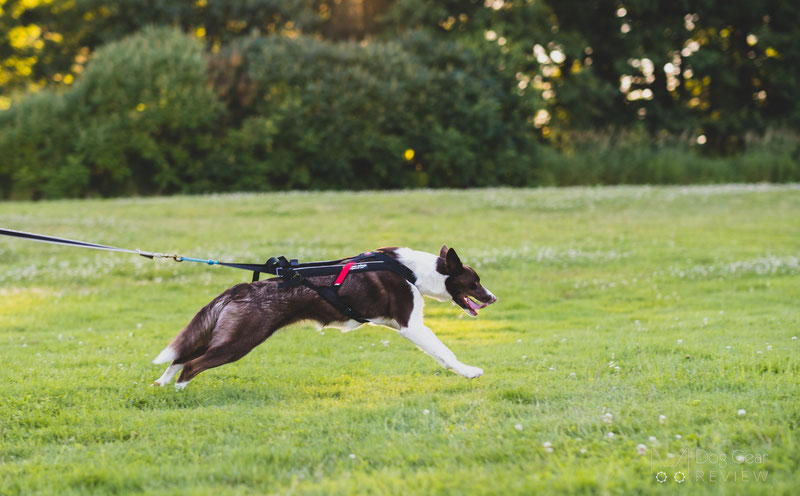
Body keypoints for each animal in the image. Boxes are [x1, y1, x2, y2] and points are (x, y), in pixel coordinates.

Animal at [153, 246, 496, 390]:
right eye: (474, 282)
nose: (493, 298)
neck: (414, 271)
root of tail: (239, 288)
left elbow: (440, 353)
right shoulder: (412, 326)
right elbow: (445, 352)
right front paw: (470, 372)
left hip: (222, 335)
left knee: (180, 358)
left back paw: (161, 385)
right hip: (238, 342)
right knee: (191, 366)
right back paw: (179, 392)